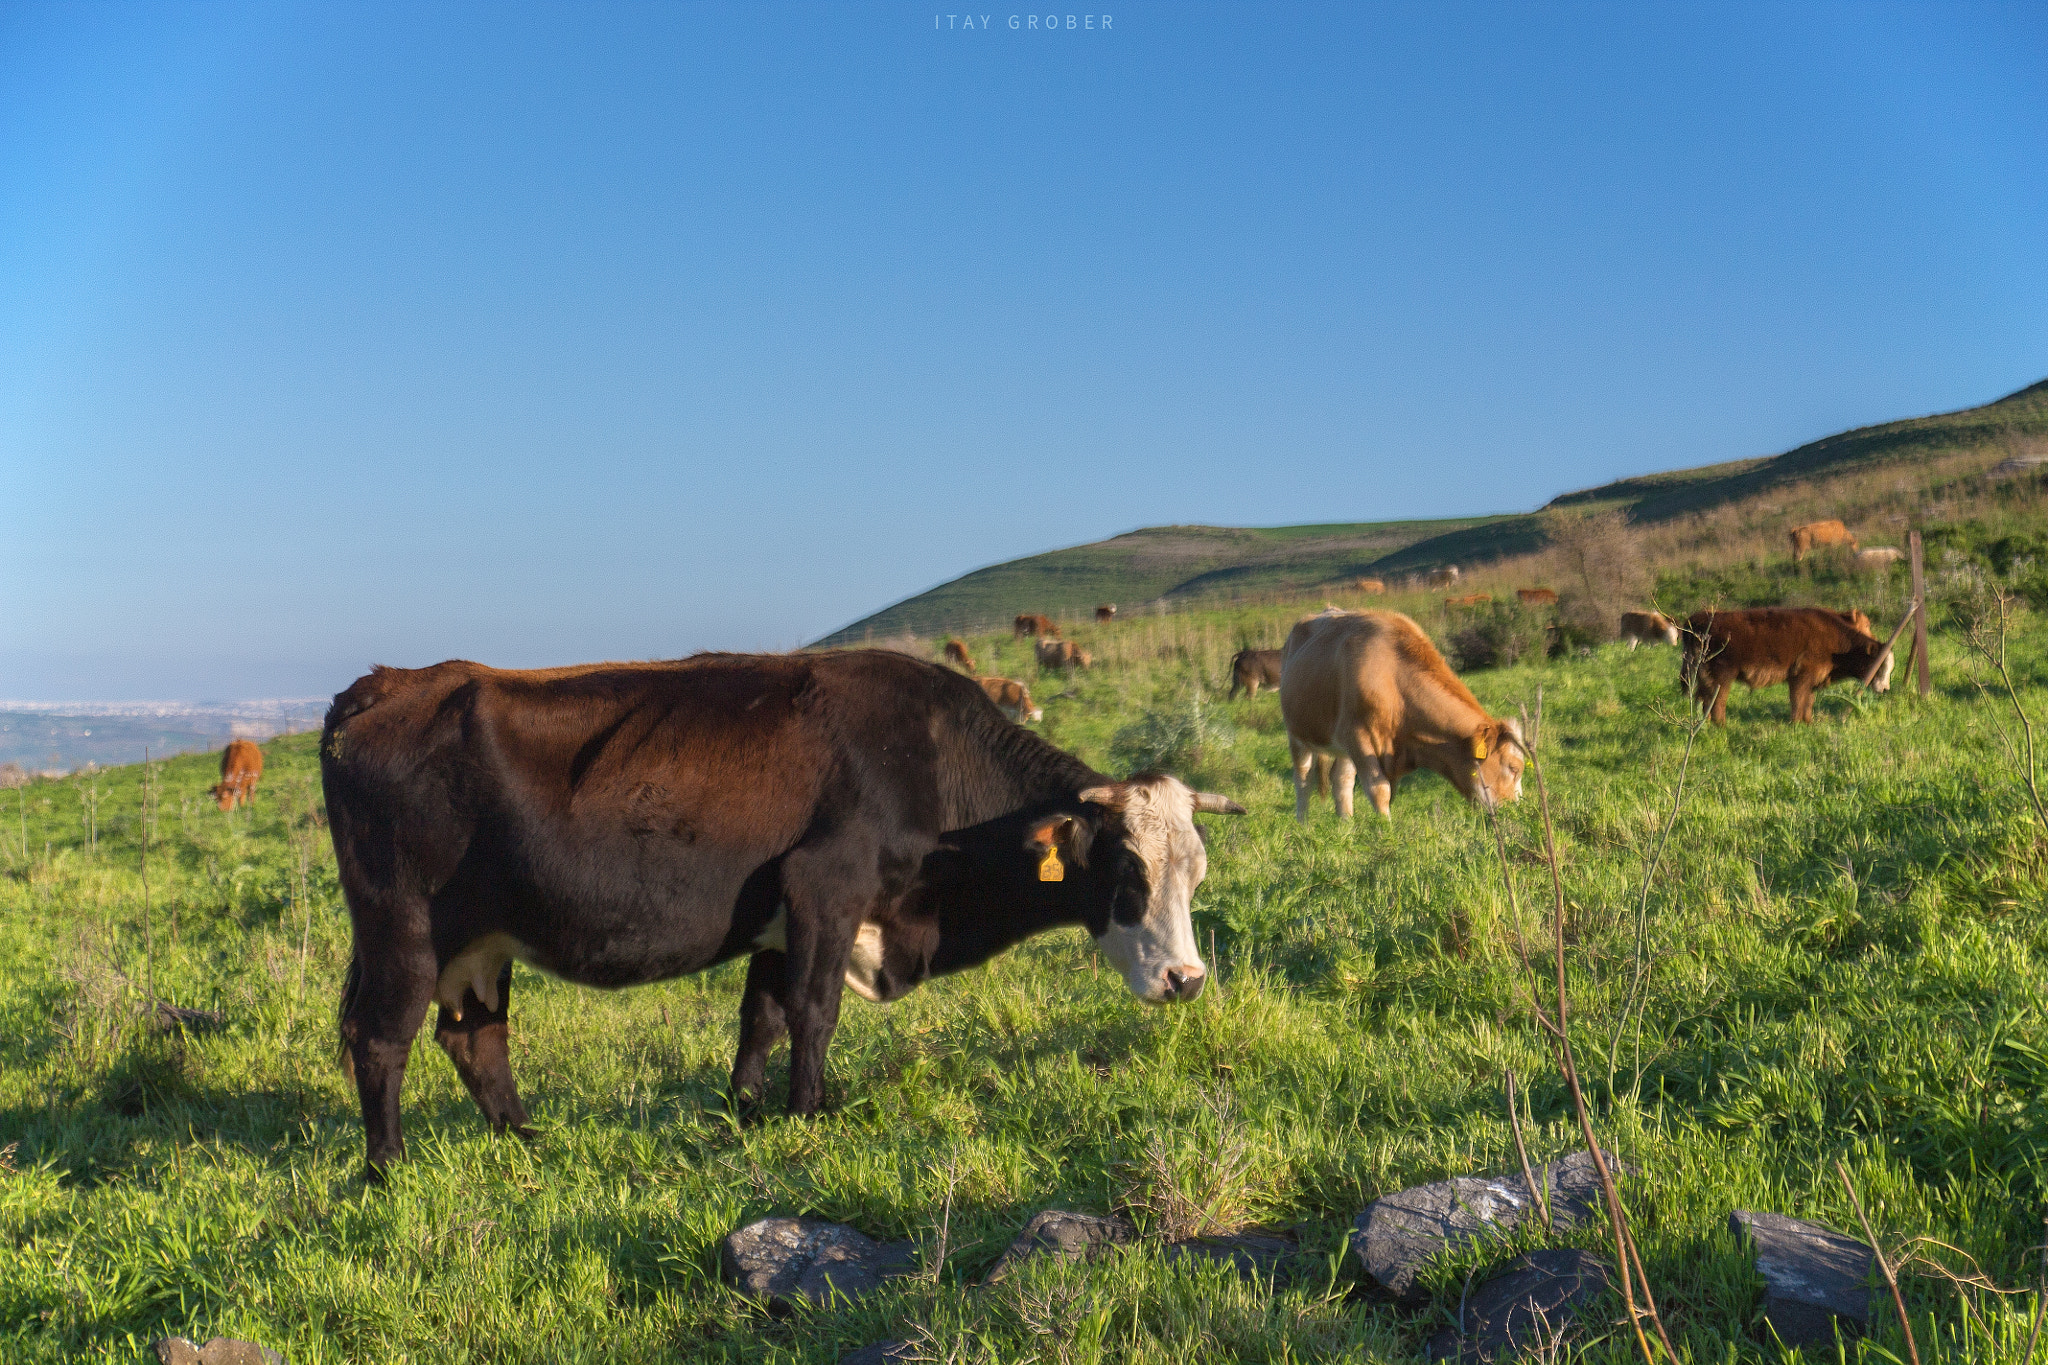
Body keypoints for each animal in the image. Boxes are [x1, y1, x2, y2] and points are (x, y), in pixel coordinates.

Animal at [321, 652, 1245, 1175]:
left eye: (1195, 873)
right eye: (1126, 871)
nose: (1187, 978)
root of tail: (380, 687)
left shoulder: (778, 915)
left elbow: (760, 1014)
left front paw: (747, 1110)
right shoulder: (825, 889)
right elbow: (814, 1008)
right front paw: (810, 1111)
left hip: (478, 941)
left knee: (475, 1036)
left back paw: (524, 1138)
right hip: (403, 928)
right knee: (382, 1038)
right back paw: (388, 1166)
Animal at [1279, 611, 1525, 820]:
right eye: (1514, 768)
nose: (1517, 811)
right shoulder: (1358, 737)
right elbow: (1379, 790)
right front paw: (1386, 832)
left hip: (1341, 747)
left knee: (1341, 780)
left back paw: (1345, 825)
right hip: (1297, 734)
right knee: (1303, 779)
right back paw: (1303, 826)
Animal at [1680, 607, 1894, 725]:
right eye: (1880, 666)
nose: (1885, 689)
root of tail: (1699, 618)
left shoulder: (1812, 680)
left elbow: (1808, 701)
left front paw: (1808, 723)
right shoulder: (1801, 675)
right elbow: (1798, 701)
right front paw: (1796, 724)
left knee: (1702, 699)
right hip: (1721, 676)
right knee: (1716, 701)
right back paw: (1720, 726)